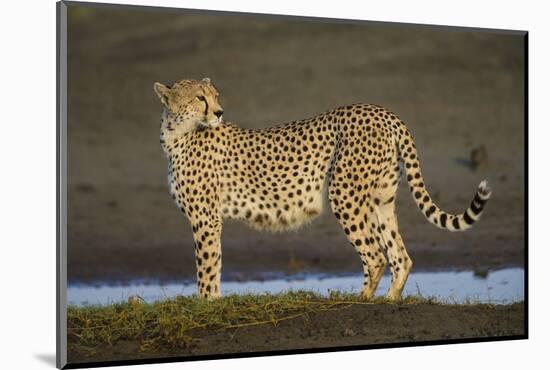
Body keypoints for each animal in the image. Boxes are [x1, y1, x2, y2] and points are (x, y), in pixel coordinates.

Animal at [153, 78, 494, 300]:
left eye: (214, 95)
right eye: (200, 97)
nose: (219, 112)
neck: (176, 135)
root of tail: (382, 111)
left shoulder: (205, 220)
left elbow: (207, 267)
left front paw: (207, 307)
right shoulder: (208, 219)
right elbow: (214, 265)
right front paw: (213, 304)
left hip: (343, 194)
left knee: (375, 256)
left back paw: (360, 300)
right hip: (381, 198)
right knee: (400, 255)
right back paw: (390, 299)